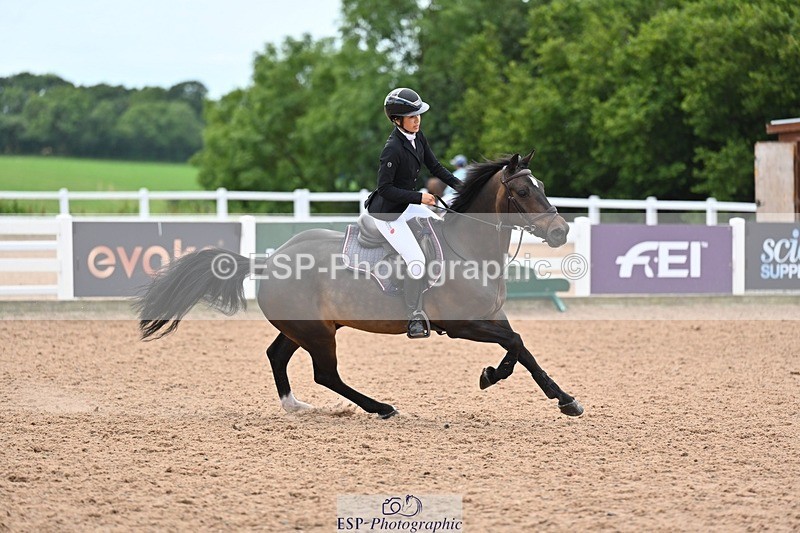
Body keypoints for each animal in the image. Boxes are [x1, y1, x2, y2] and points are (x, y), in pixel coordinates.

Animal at [136, 151, 584, 419]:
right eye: (523, 190)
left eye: (542, 187)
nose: (561, 231)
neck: (468, 248)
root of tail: (271, 259)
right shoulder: (463, 325)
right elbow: (516, 344)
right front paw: (503, 378)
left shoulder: (494, 316)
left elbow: (520, 348)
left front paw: (553, 395)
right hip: (318, 334)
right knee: (326, 374)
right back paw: (381, 407)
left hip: (304, 328)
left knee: (278, 356)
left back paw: (295, 406)